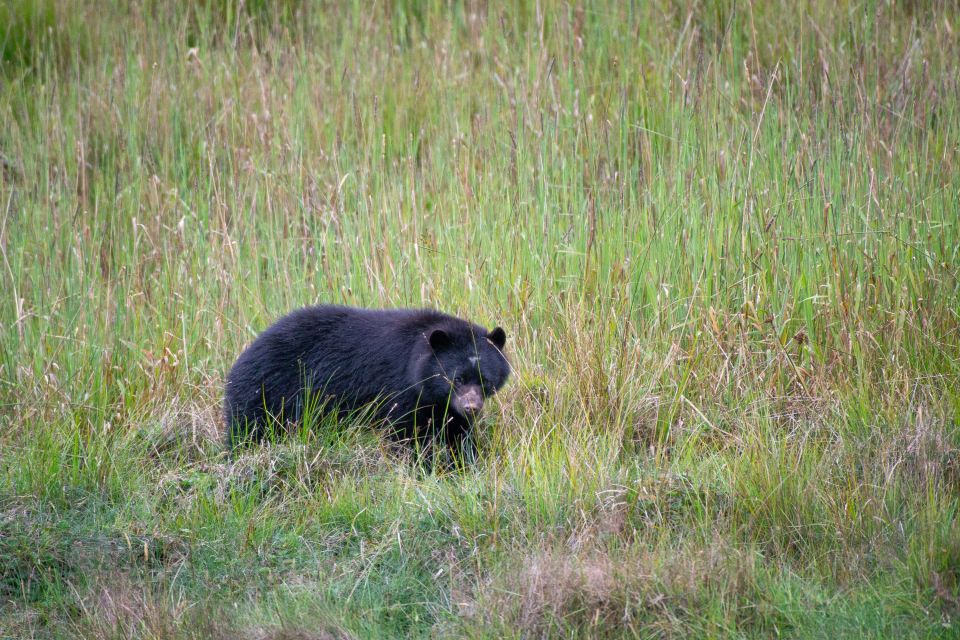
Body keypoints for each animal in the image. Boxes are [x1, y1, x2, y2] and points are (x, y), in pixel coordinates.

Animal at [224, 304, 510, 460]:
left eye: (485, 381)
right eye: (457, 378)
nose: (472, 408)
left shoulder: (443, 406)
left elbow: (457, 434)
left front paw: (463, 464)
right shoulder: (398, 392)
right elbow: (406, 434)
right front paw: (423, 466)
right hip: (266, 393)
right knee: (248, 431)